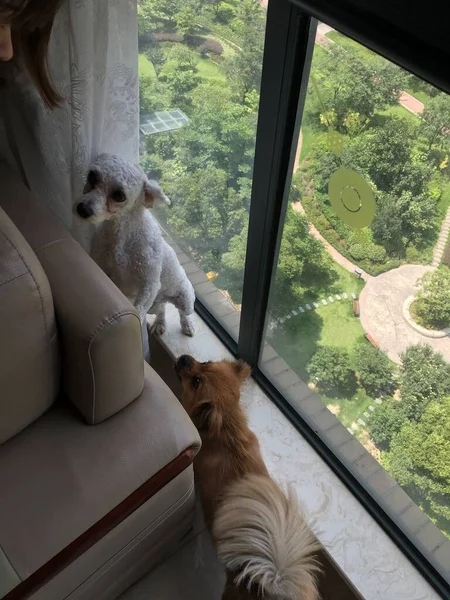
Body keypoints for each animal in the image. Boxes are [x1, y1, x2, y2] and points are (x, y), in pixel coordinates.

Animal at [75, 155, 195, 342]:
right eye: (92, 176)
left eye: (119, 195)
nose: (82, 209)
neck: (122, 234)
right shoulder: (102, 266)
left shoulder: (150, 283)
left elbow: (138, 312)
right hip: (154, 305)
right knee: (161, 309)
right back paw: (160, 323)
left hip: (185, 298)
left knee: (184, 313)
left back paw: (187, 325)